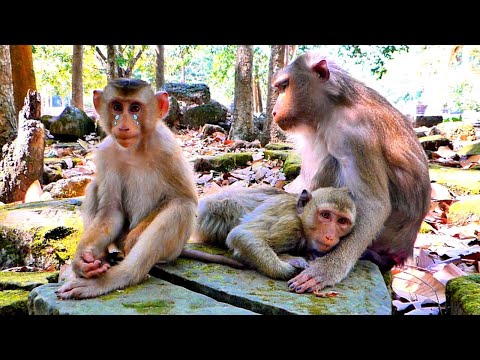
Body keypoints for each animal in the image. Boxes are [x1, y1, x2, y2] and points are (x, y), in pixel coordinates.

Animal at [184, 187, 356, 280]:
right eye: (325, 215)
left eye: (342, 221)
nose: (330, 236)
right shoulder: (289, 224)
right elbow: (242, 234)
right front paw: (286, 269)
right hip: (212, 214)